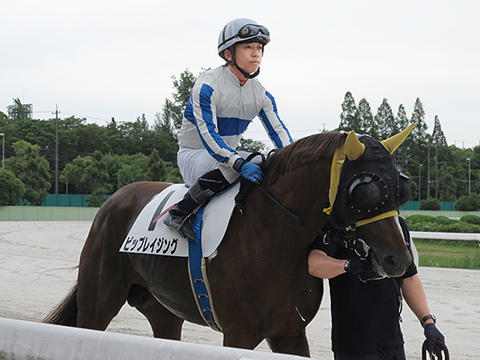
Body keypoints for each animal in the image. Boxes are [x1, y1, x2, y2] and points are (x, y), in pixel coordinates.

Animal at [43, 128, 414, 356]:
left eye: (401, 187)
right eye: (365, 190)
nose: (398, 259)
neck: (274, 237)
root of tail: (114, 199)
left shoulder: (290, 332)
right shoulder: (239, 334)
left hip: (163, 309)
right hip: (99, 301)